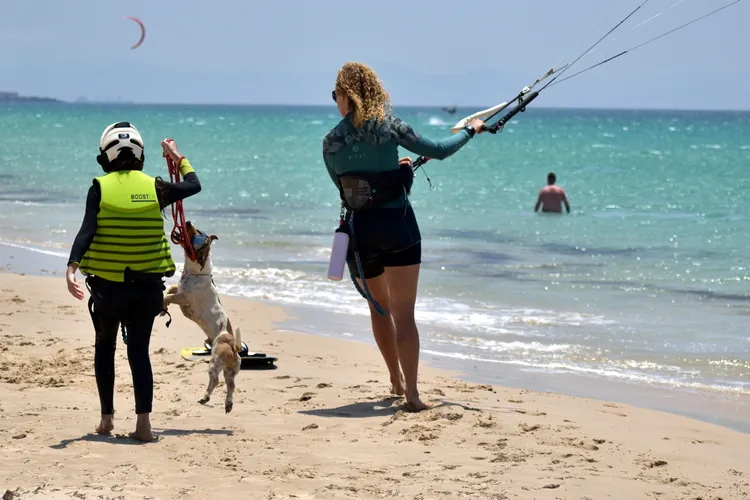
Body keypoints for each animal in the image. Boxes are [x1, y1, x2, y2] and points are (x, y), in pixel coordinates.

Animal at [162, 221, 242, 412]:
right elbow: (171, 289)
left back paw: (205, 397)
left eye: (197, 233)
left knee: (216, 380)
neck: (196, 272)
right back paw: (228, 403)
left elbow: (168, 296)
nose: (187, 222)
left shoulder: (184, 298)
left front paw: (162, 305)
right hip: (230, 370)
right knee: (231, 385)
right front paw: (163, 307)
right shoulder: (180, 291)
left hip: (215, 363)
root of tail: (233, 345)